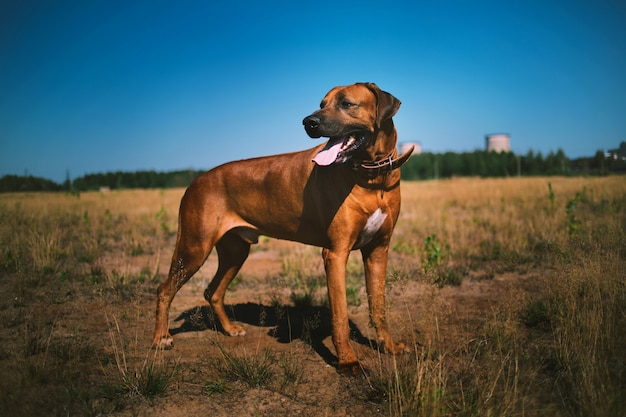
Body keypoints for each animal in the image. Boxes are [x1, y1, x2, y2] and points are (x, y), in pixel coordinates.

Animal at [153, 82, 412, 374]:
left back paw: (230, 329)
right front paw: (348, 361)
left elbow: (378, 307)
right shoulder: (335, 254)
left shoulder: (378, 250)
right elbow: (340, 315)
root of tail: (195, 181)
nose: (309, 122)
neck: (373, 176)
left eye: (346, 103)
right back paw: (161, 338)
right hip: (195, 246)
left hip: (235, 251)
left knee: (213, 291)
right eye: (322, 104)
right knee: (164, 290)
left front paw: (389, 347)